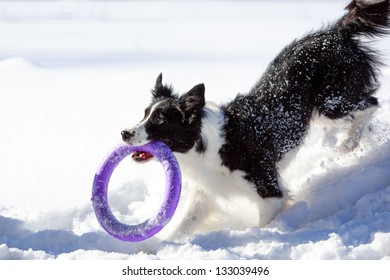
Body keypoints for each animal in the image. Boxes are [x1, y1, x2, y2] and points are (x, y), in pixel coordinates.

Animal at [122, 0, 390, 238]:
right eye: (144, 114)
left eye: (160, 120)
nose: (124, 133)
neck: (207, 147)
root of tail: (337, 31)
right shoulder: (205, 193)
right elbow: (184, 224)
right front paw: (157, 247)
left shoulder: (268, 188)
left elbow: (264, 222)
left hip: (331, 103)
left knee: (371, 104)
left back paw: (349, 144)